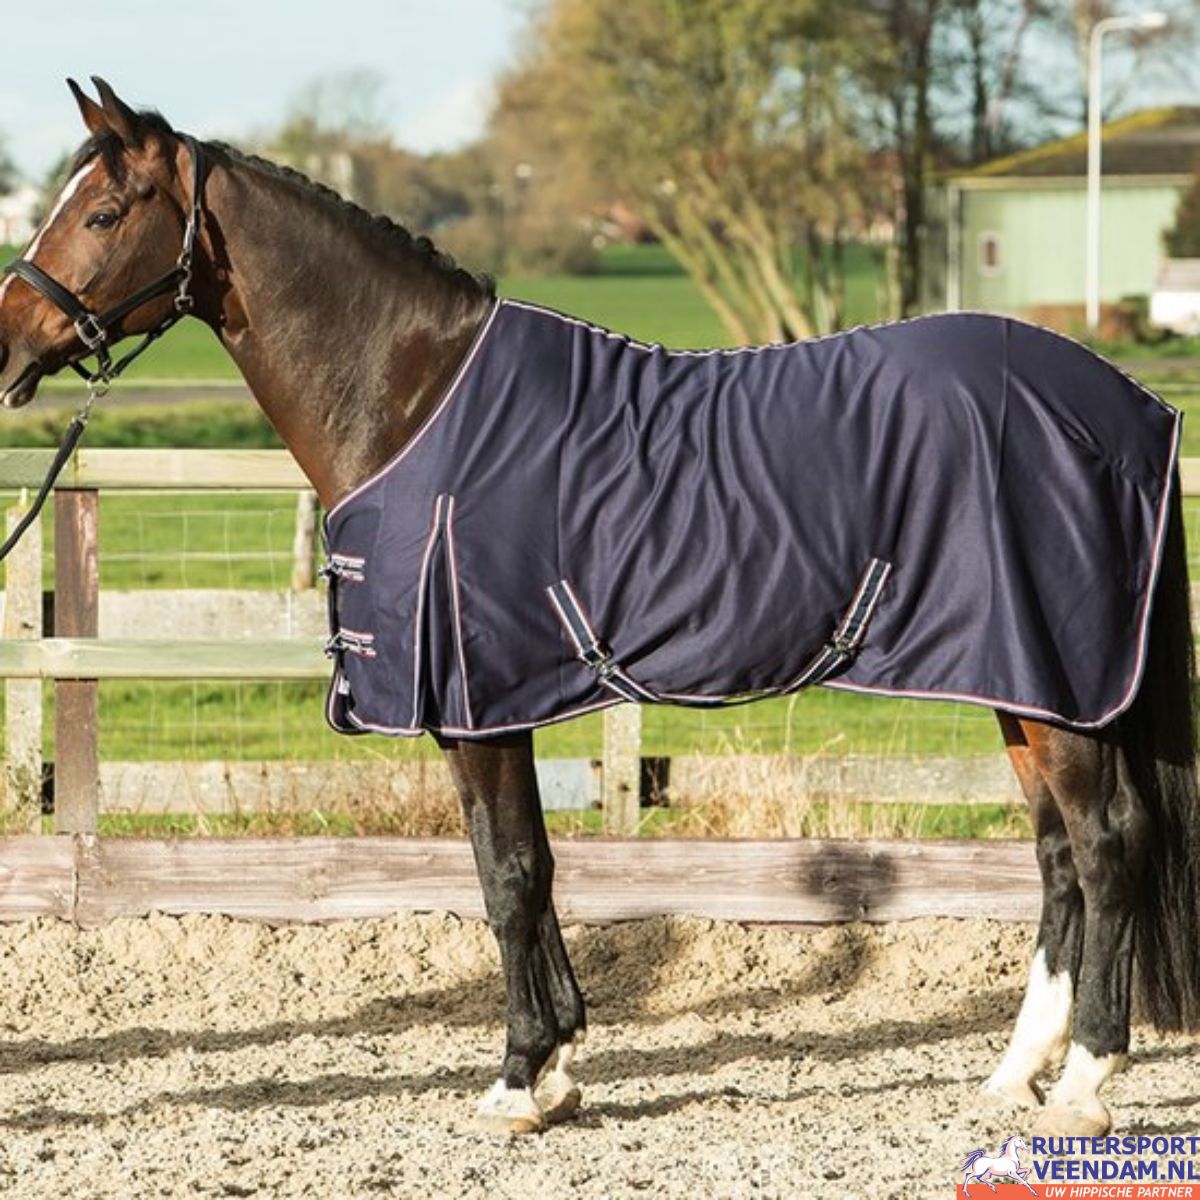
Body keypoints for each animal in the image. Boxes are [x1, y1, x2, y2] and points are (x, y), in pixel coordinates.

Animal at [0, 79, 1197, 1138]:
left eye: (102, 211)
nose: (9, 341)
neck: (416, 396)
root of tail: (1130, 406)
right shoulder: (499, 699)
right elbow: (532, 865)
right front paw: (562, 1063)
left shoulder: (476, 701)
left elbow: (508, 875)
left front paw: (519, 1080)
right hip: (1023, 684)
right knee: (1056, 858)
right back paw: (1014, 1074)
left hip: (1057, 691)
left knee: (1104, 847)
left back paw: (1085, 1084)